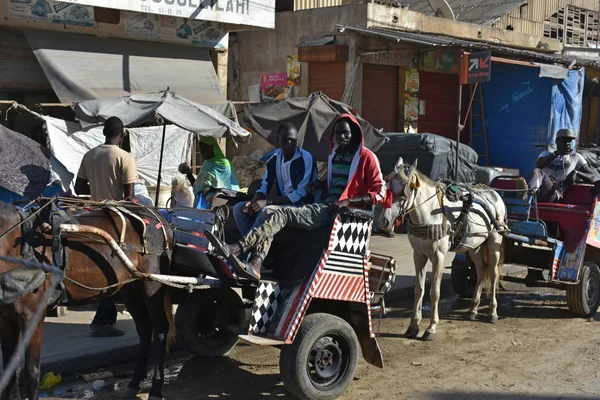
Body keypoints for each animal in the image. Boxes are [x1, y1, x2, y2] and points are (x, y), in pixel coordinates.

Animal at [0, 202, 177, 400]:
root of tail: (158, 217)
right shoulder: (6, 319)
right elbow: (9, 372)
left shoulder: (32, 317)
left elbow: (31, 372)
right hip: (131, 288)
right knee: (145, 329)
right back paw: (134, 382)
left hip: (151, 285)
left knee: (160, 330)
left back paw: (156, 387)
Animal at [380, 159, 506, 340]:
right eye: (387, 188)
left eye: (403, 193)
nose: (384, 221)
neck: (430, 214)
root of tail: (495, 193)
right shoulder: (418, 255)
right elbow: (419, 290)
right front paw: (413, 326)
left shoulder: (438, 256)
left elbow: (435, 292)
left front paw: (431, 328)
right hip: (475, 246)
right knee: (481, 270)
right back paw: (473, 309)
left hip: (494, 241)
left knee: (493, 274)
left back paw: (492, 312)